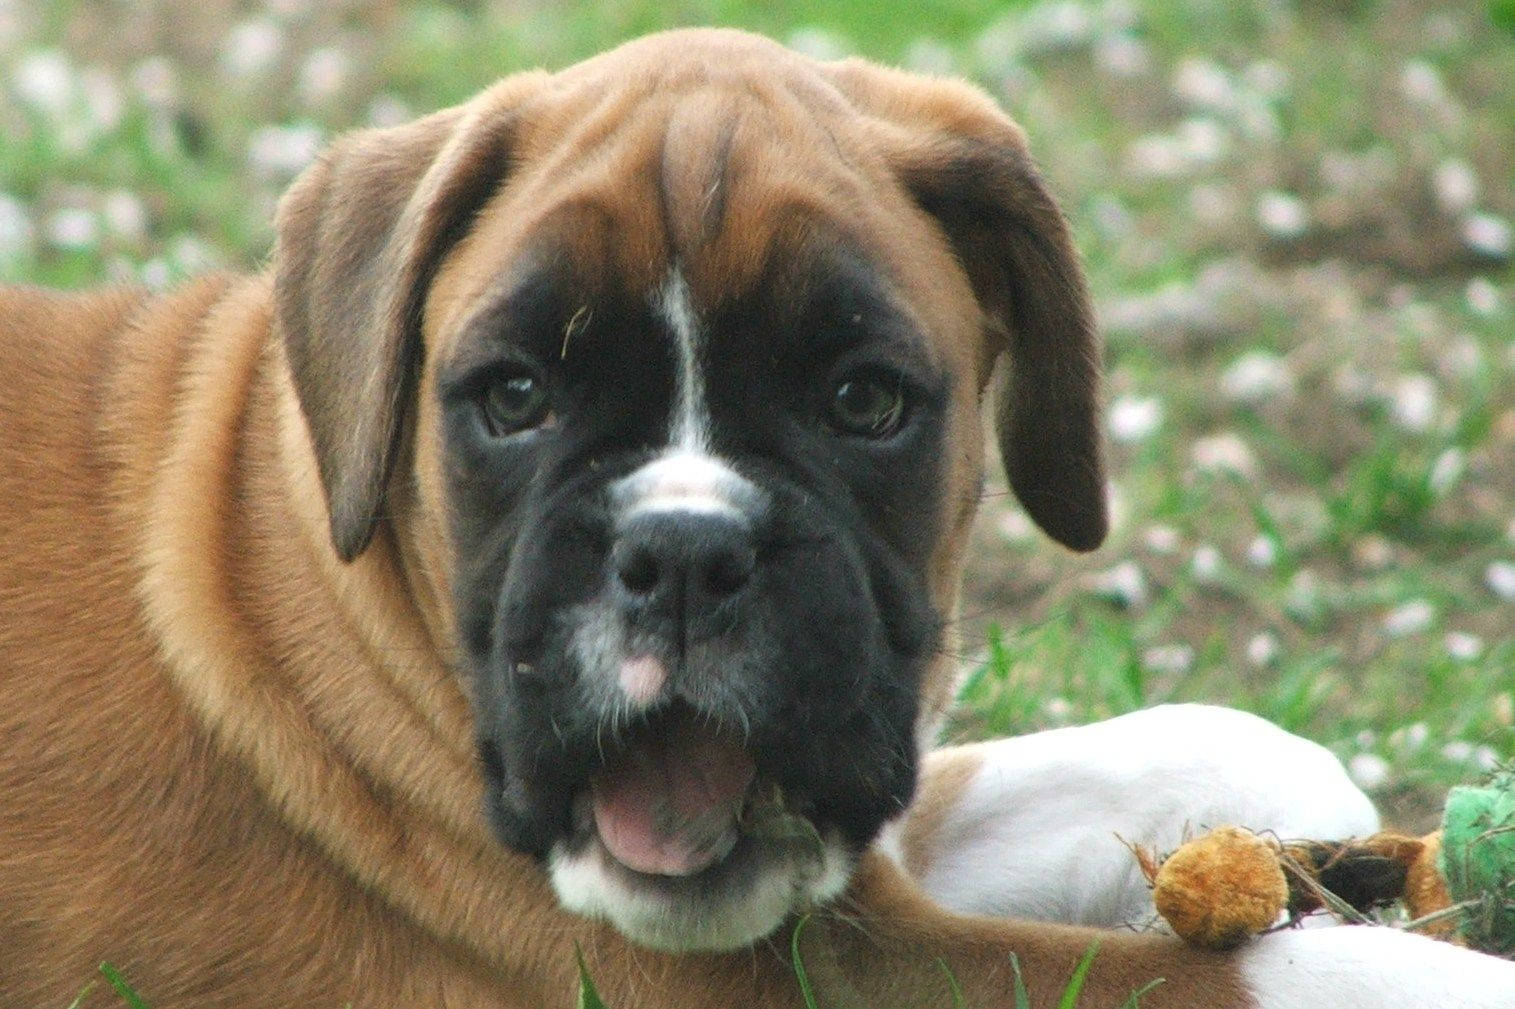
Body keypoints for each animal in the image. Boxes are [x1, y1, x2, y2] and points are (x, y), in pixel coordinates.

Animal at [5, 25, 1508, 1005]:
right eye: (512, 396)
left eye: (863, 401)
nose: (680, 553)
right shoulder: (787, 975)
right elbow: (1263, 977)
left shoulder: (853, 801)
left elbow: (1115, 757)